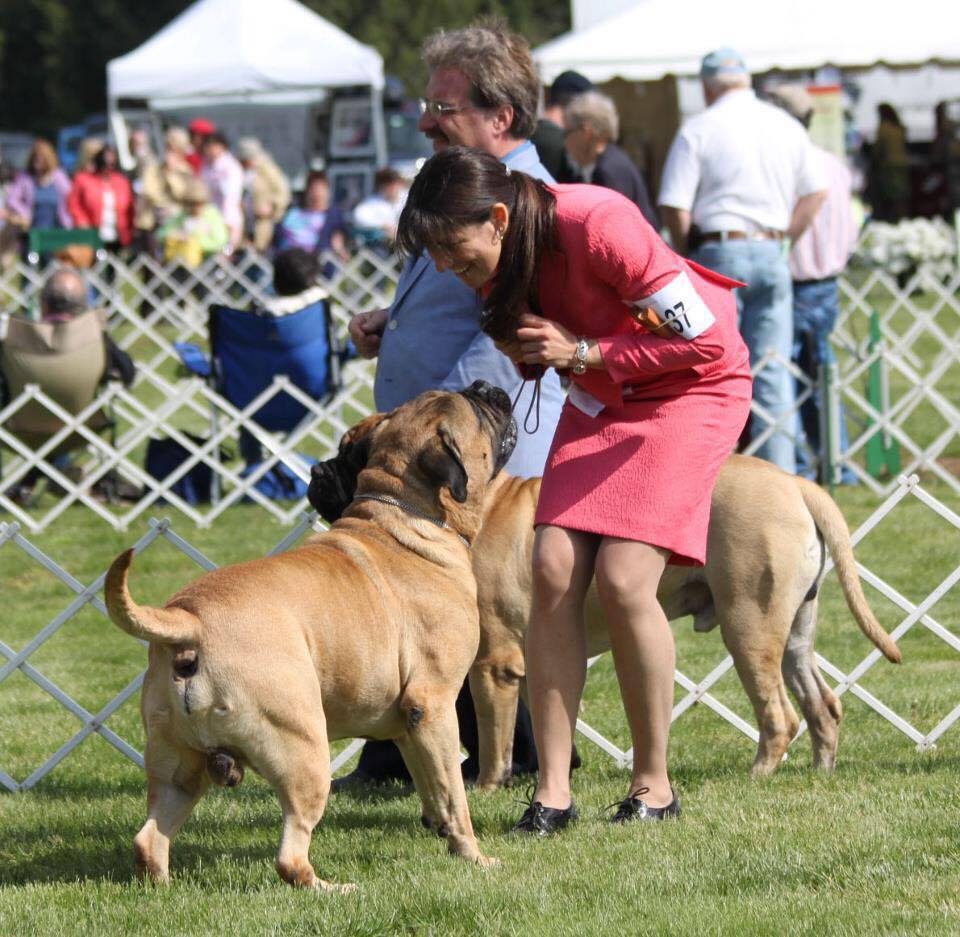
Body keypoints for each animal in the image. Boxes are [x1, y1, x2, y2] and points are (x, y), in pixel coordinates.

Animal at [105, 382, 516, 892]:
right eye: (475, 410)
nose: (487, 387)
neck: (408, 515)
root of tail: (190, 619)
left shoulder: (409, 725)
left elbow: (434, 788)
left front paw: (442, 833)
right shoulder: (435, 705)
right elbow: (455, 796)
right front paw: (474, 856)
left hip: (178, 765)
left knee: (150, 838)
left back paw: (162, 886)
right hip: (304, 749)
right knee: (291, 856)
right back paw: (332, 888)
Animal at [314, 436, 900, 788]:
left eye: (352, 452)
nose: (316, 470)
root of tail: (796, 483)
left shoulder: (492, 663)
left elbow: (494, 733)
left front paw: (487, 786)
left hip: (748, 626)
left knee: (780, 715)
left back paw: (757, 775)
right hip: (795, 627)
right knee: (822, 704)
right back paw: (821, 771)